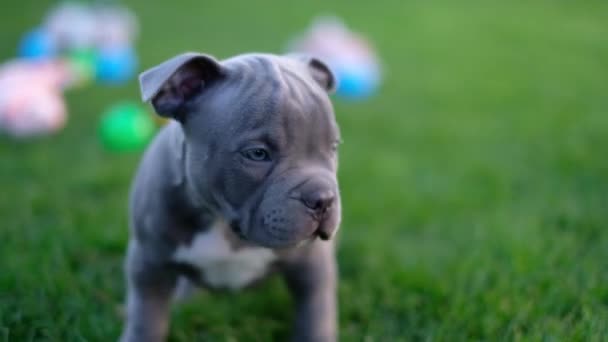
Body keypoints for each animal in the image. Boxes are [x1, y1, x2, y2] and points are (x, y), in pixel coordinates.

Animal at [121, 51, 342, 342]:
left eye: (334, 146)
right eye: (257, 154)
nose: (323, 199)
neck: (222, 223)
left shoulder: (312, 265)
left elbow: (316, 315)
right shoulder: (148, 264)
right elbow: (146, 318)